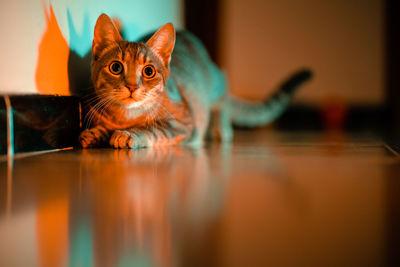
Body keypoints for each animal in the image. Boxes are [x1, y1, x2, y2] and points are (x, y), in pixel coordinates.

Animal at [79, 13, 312, 150]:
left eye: (149, 71)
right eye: (116, 67)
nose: (132, 86)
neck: (125, 116)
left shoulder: (183, 124)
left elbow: (152, 129)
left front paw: (129, 134)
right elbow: (102, 127)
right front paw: (96, 133)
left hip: (217, 86)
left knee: (222, 104)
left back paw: (221, 129)